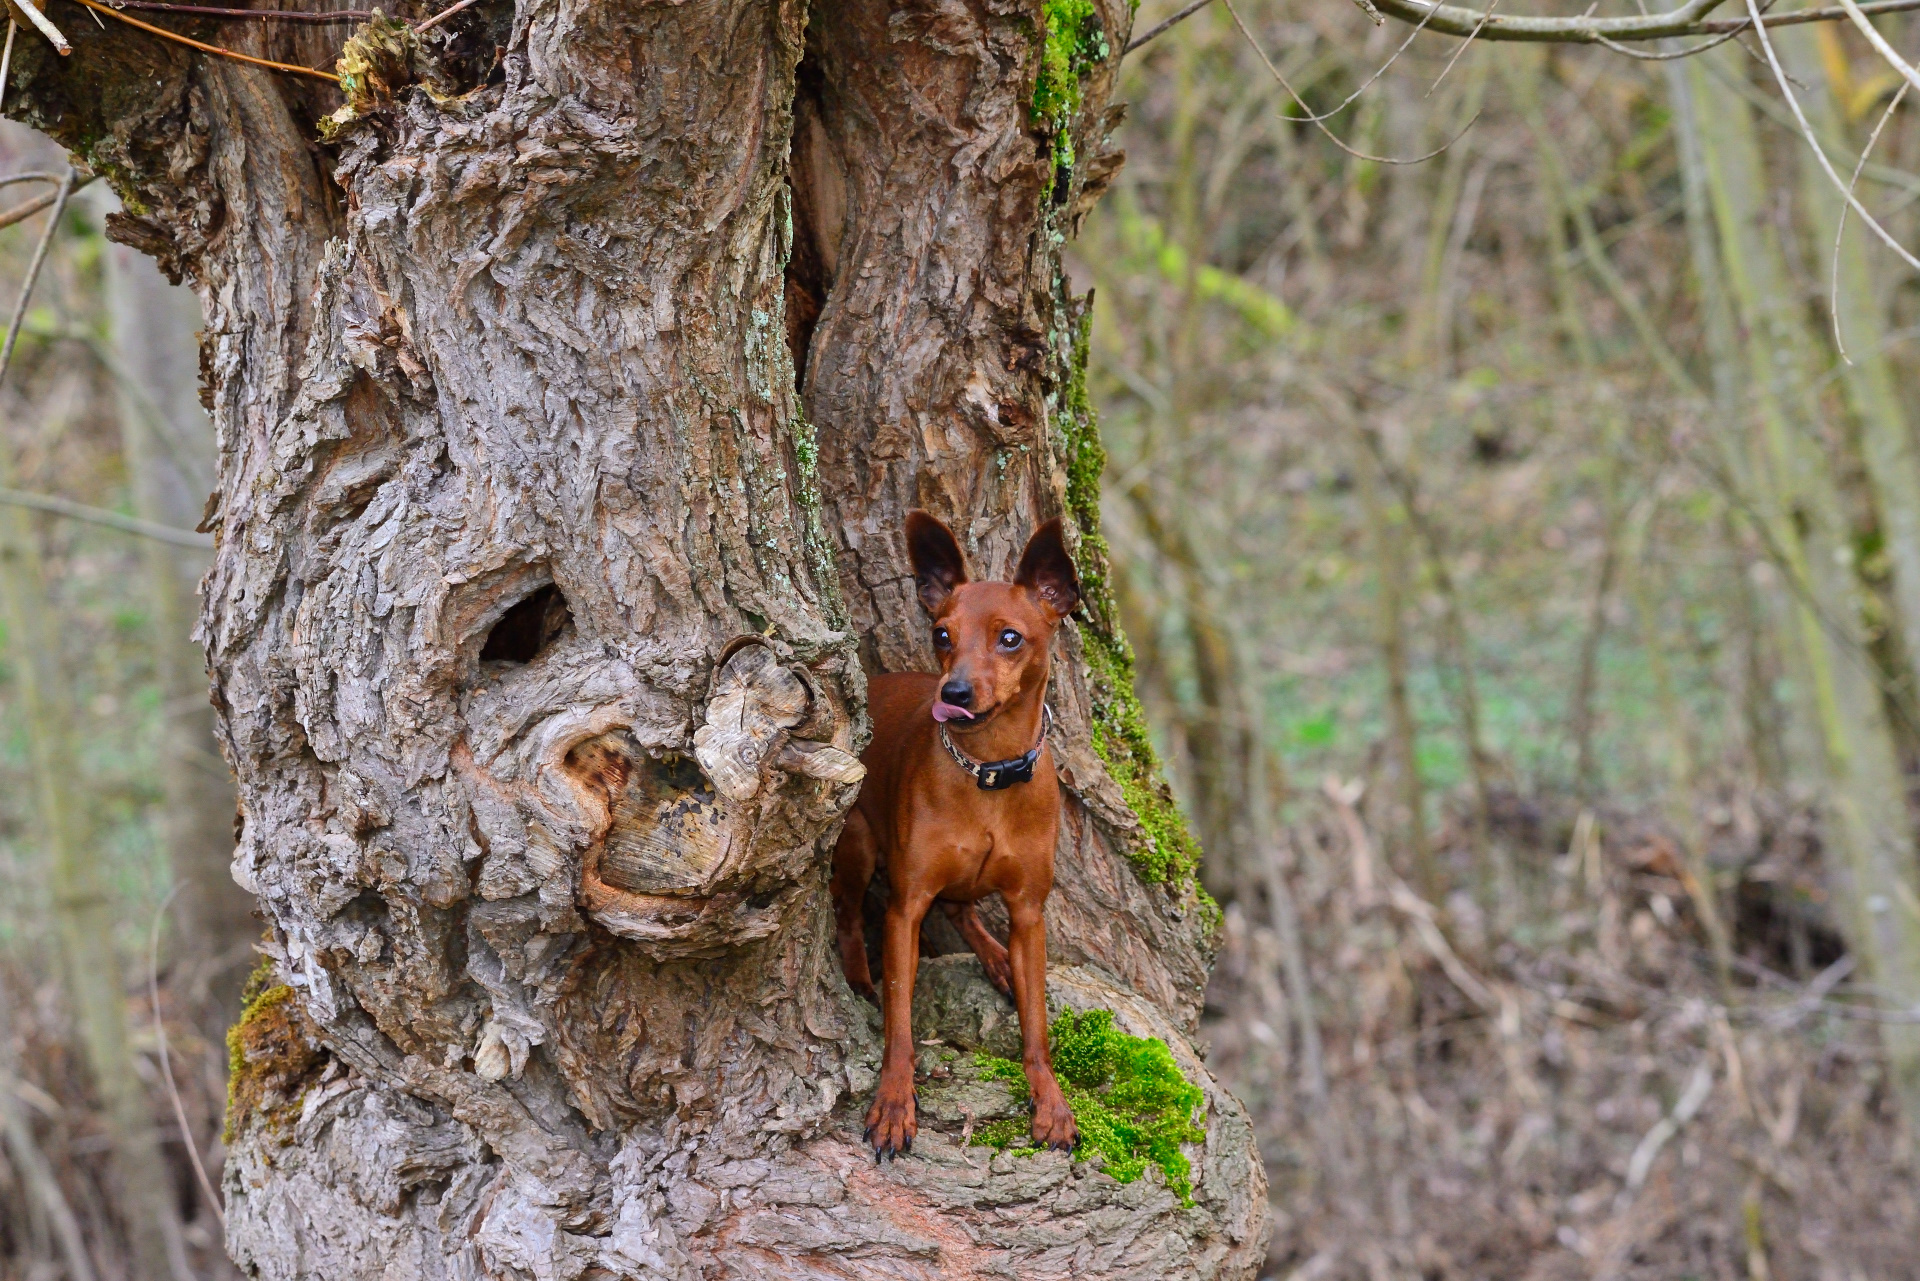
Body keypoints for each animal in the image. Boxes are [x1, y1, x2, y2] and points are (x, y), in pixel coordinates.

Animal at [833, 510, 1090, 1160]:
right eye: (942, 635)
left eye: (1010, 638)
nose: (953, 694)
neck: (988, 775)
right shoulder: (905, 909)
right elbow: (900, 1026)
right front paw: (894, 1104)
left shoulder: (1028, 912)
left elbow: (1036, 1027)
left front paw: (1050, 1102)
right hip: (857, 844)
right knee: (848, 916)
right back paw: (858, 977)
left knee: (965, 909)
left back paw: (997, 960)